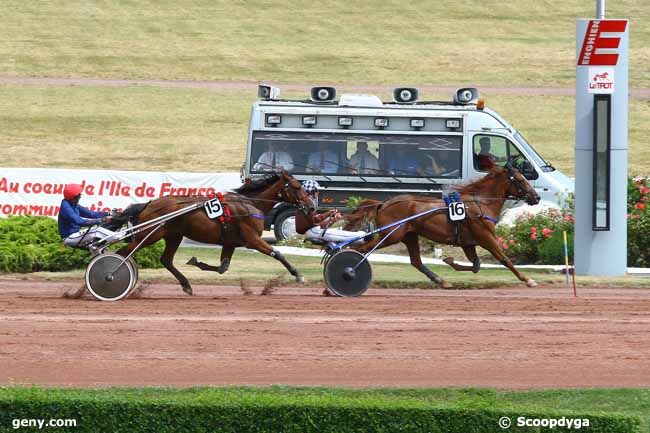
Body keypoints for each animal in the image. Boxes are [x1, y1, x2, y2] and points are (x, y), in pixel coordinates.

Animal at [116, 170, 314, 296]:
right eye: (297, 187)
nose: (311, 206)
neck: (250, 203)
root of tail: (148, 204)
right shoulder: (252, 239)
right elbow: (277, 253)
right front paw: (297, 274)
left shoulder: (230, 243)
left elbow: (223, 267)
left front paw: (197, 262)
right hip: (150, 235)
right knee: (122, 253)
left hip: (173, 235)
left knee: (166, 260)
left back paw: (186, 285)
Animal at [342, 167, 540, 288]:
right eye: (521, 180)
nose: (536, 197)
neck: (480, 203)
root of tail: (383, 204)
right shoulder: (485, 237)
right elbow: (504, 259)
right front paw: (528, 280)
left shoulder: (468, 242)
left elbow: (475, 265)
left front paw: (449, 261)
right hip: (392, 235)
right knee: (361, 248)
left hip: (409, 236)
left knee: (416, 261)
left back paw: (441, 280)